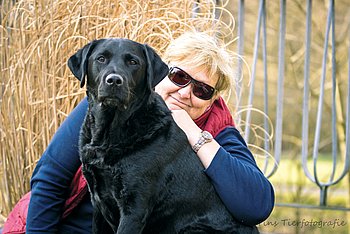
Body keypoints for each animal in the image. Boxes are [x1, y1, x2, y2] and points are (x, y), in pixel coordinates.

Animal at [67, 38, 258, 234]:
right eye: (101, 58)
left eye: (133, 62)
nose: (114, 80)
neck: (109, 134)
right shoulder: (98, 203)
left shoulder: (134, 208)